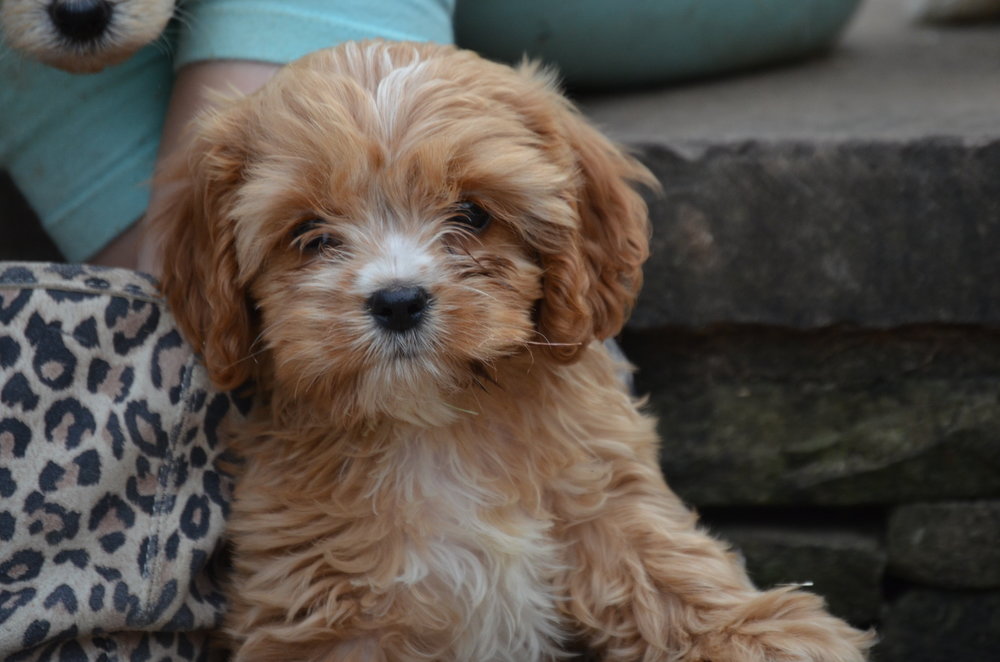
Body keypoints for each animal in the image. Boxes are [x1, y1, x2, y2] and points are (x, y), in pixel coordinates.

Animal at [156, 42, 876, 662]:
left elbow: (661, 560)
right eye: (310, 234)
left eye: (473, 214)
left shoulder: (599, 491)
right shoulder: (324, 599)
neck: (435, 423)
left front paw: (756, 635)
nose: (398, 301)